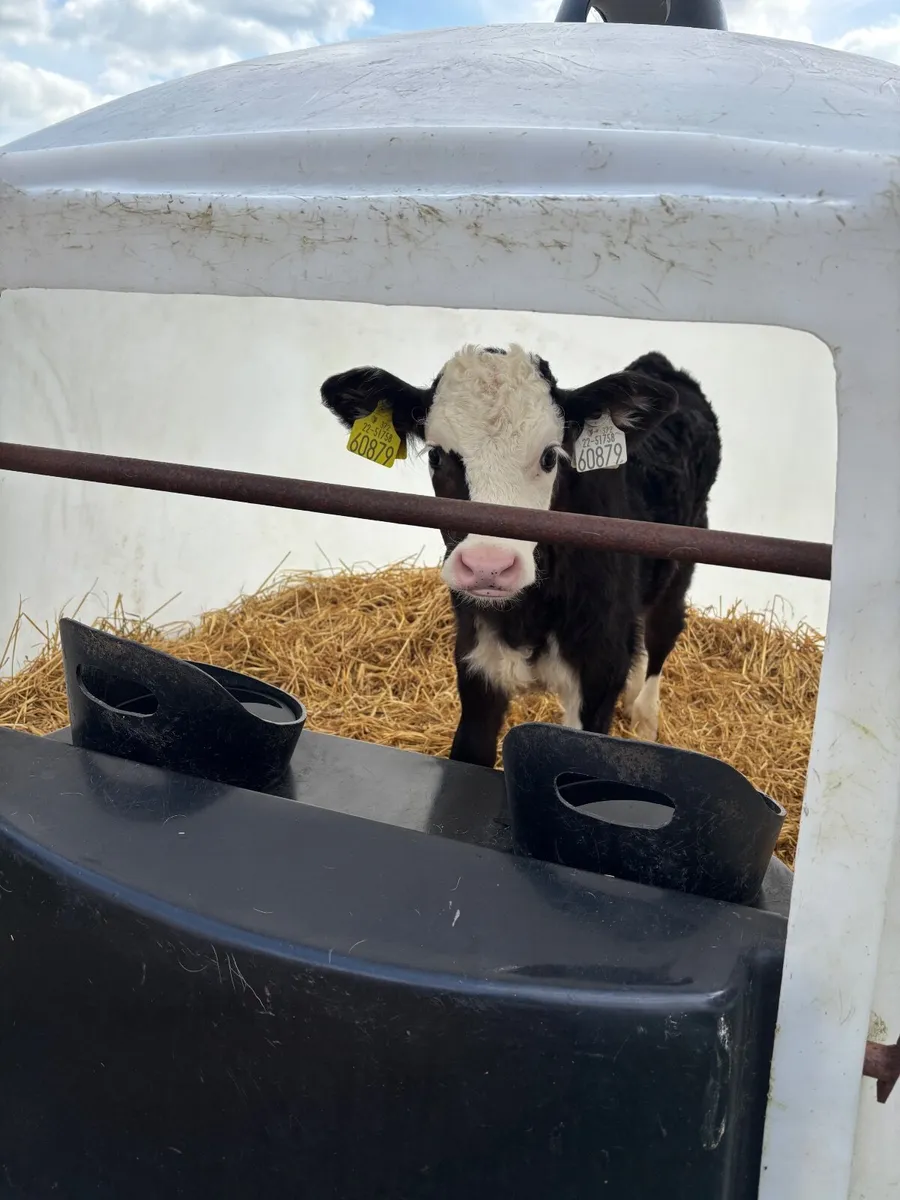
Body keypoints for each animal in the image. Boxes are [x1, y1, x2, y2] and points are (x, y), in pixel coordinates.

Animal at [321, 344, 721, 768]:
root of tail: (660, 364)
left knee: (664, 630)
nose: (488, 566)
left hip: (684, 559)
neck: (530, 616)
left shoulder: (598, 677)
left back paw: (645, 719)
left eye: (550, 457)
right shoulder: (477, 668)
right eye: (436, 457)